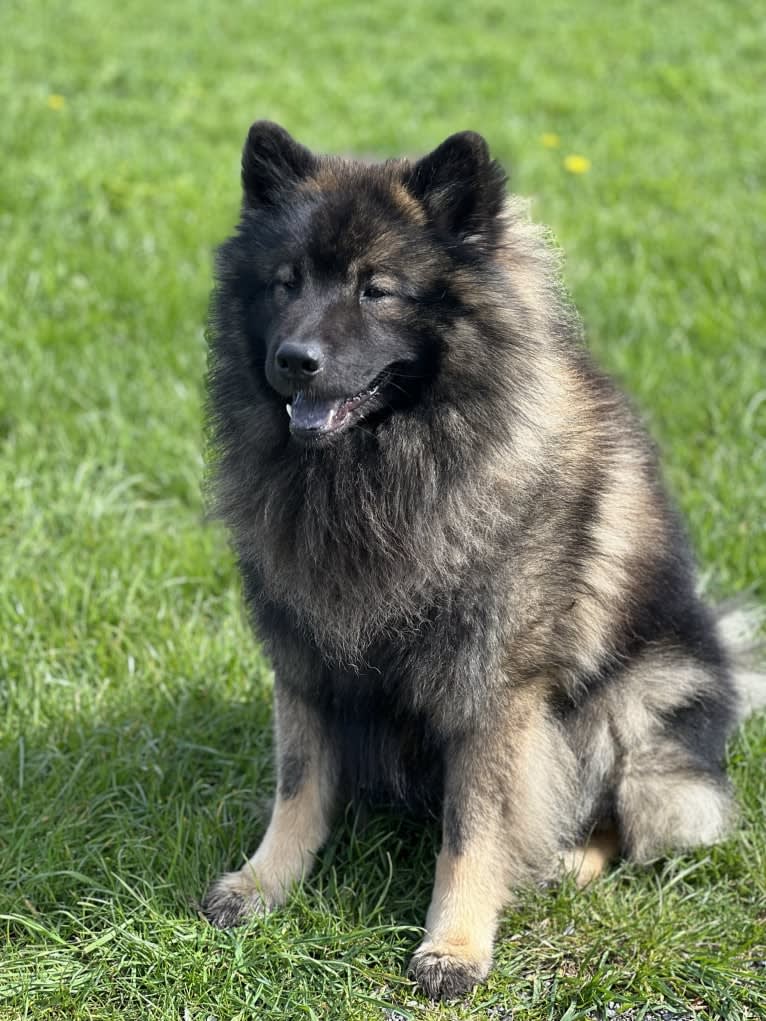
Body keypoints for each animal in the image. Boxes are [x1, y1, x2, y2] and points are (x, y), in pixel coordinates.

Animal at [201, 121, 763, 1004]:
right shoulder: (305, 658)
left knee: (631, 814)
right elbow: (298, 787)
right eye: (286, 282)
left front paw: (456, 945)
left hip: (633, 704)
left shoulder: (493, 692)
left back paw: (566, 861)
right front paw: (264, 883)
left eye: (377, 290)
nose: (293, 359)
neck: (383, 470)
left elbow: (473, 828)